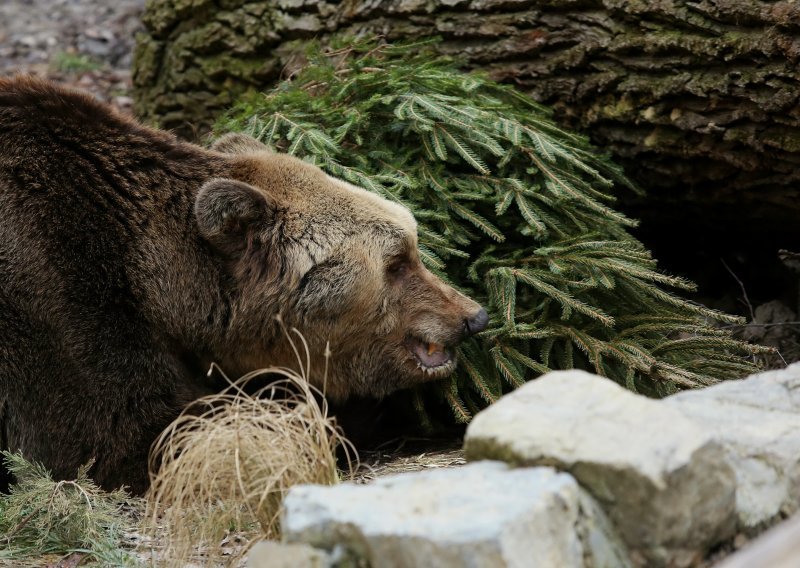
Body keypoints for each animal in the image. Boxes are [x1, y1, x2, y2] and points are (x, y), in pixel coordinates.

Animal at [0, 77, 488, 494]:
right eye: (397, 261)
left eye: (412, 244)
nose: (474, 316)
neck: (158, 280)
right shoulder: (58, 301)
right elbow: (135, 433)